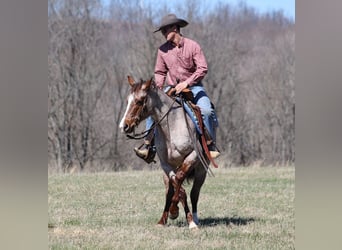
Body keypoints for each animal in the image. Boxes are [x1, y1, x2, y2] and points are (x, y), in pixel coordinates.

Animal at [119, 75, 215, 229]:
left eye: (139, 101)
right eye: (128, 100)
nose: (124, 126)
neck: (172, 126)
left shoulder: (193, 156)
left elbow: (180, 180)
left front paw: (182, 216)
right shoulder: (165, 163)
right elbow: (176, 186)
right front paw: (173, 212)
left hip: (201, 171)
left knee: (194, 193)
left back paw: (194, 219)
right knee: (169, 191)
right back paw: (162, 220)